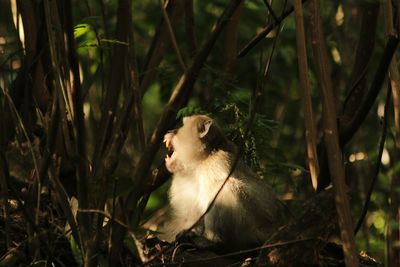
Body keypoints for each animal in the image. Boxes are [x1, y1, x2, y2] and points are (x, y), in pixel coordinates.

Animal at [160, 114, 290, 251]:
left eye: (181, 128)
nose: (169, 131)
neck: (199, 162)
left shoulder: (217, 164)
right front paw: (188, 233)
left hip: (251, 231)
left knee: (221, 187)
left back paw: (214, 241)